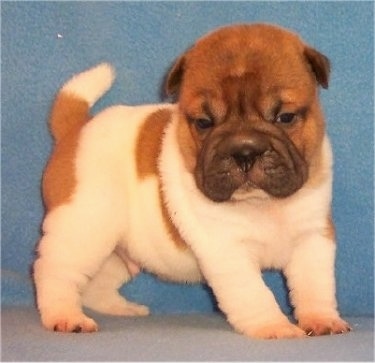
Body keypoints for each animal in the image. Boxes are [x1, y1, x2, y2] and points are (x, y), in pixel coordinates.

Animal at [33, 24, 352, 340]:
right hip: (83, 230)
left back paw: (121, 309)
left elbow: (314, 286)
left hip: (116, 250)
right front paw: (273, 326)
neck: (262, 205)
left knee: (95, 283)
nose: (244, 151)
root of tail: (77, 128)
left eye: (285, 117)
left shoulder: (312, 238)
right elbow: (253, 293)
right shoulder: (227, 249)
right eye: (204, 122)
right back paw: (66, 316)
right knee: (55, 272)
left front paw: (321, 319)